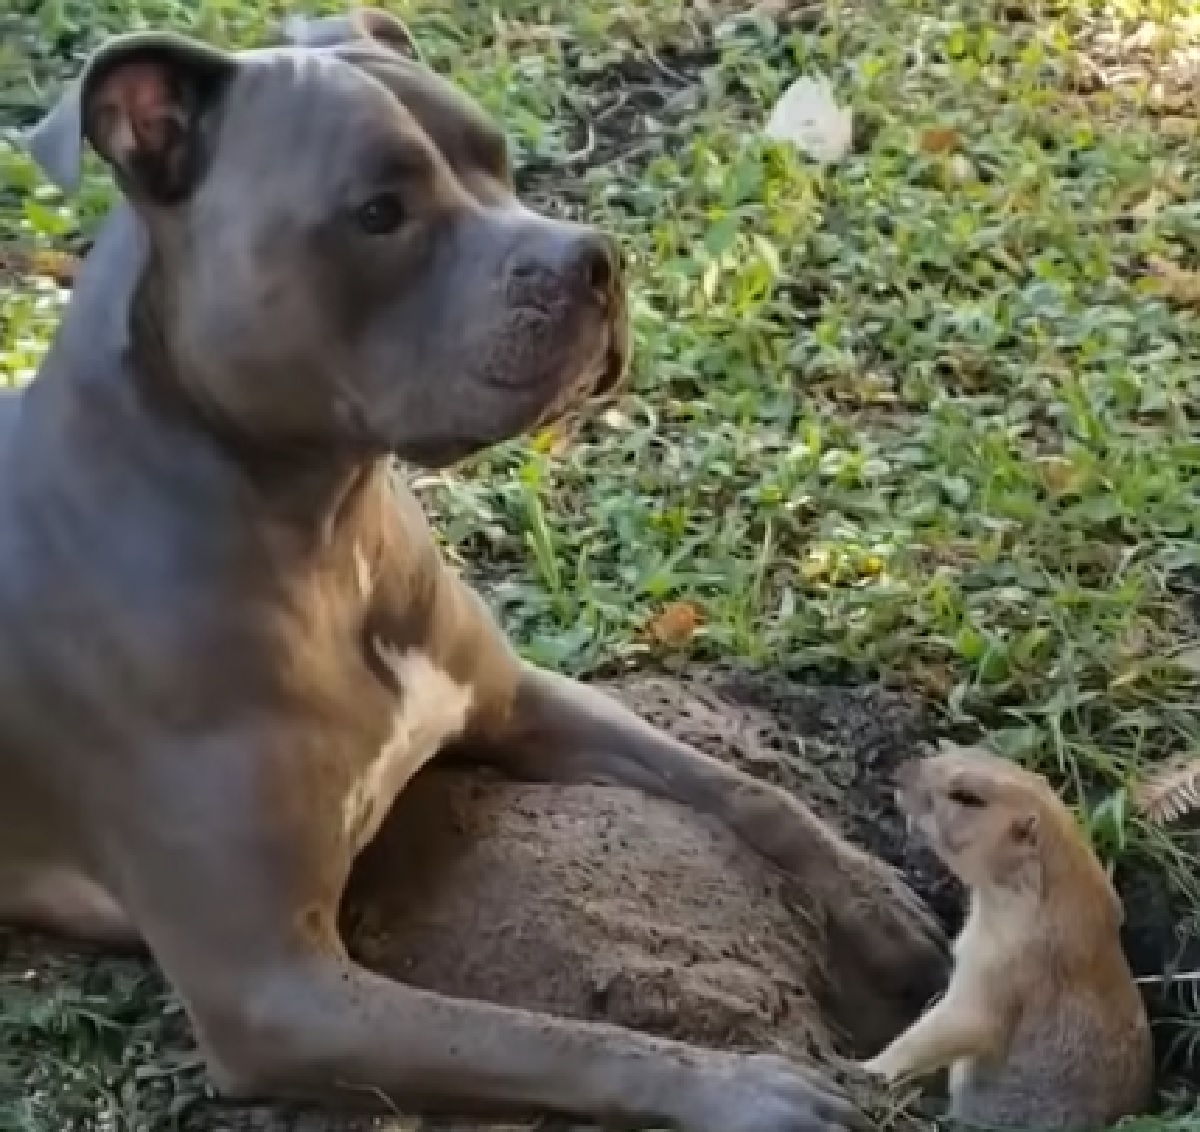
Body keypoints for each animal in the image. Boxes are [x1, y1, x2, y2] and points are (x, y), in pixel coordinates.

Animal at [4, 8, 950, 1132]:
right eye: (378, 211)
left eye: (499, 161)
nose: (596, 259)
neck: (325, 536)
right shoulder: (277, 993)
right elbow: (545, 1037)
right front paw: (749, 1088)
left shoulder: (515, 696)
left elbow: (743, 788)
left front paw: (874, 902)